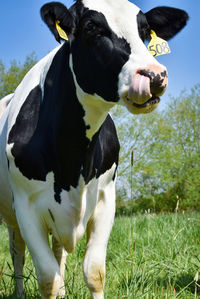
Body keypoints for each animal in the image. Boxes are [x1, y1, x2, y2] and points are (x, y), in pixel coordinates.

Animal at [0, 1, 188, 298]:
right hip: (11, 216)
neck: (73, 159)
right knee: (17, 250)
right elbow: (47, 279)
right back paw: (20, 291)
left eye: (145, 30)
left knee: (59, 251)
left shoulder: (105, 198)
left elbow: (94, 272)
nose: (154, 75)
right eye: (91, 26)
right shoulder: (26, 207)